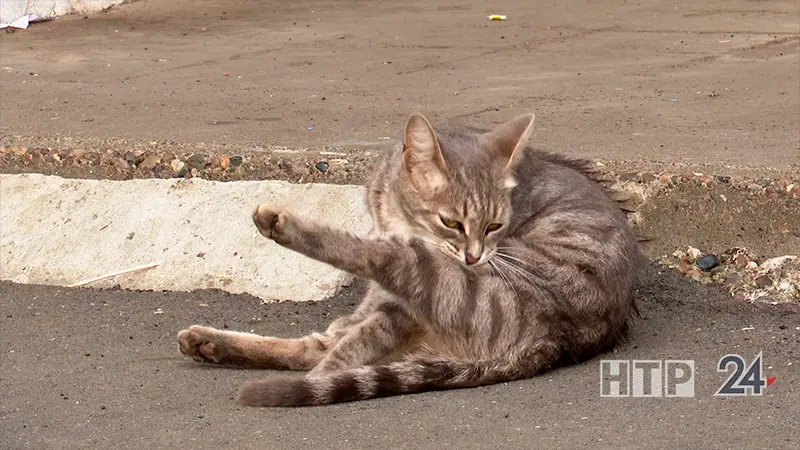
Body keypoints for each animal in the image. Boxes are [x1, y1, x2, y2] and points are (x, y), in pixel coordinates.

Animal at [175, 111, 644, 408]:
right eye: (451, 222)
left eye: (495, 225)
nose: (474, 257)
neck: (395, 216)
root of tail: (558, 343)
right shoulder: (390, 298)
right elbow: (345, 338)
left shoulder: (402, 305)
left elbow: (349, 348)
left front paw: (320, 378)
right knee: (317, 343)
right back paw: (209, 342)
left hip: (452, 285)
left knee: (365, 280)